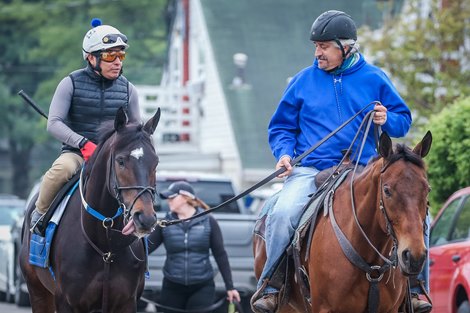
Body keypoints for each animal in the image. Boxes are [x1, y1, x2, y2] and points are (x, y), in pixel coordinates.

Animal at [19, 106, 162, 310]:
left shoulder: (127, 301)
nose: (146, 218)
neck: (106, 246)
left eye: (155, 162)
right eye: (120, 161)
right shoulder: (67, 301)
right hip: (37, 290)